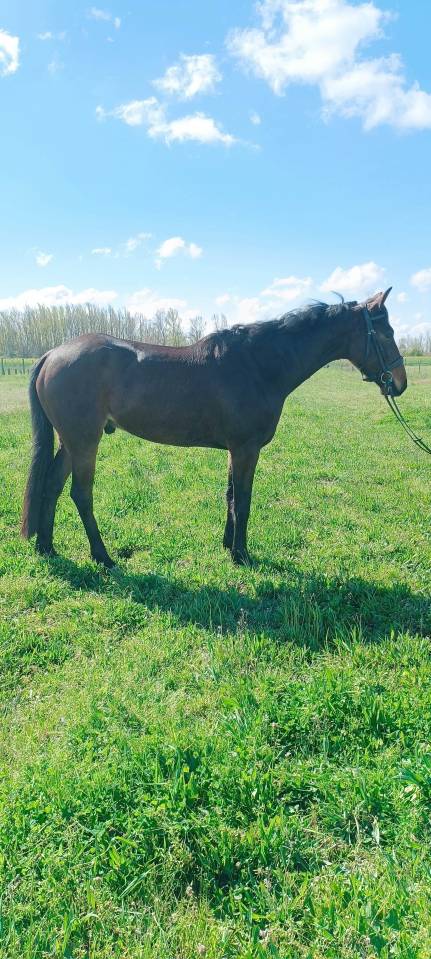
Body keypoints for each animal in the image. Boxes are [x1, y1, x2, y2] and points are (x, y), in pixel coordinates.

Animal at [21, 287, 406, 568]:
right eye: (385, 333)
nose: (400, 383)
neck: (258, 366)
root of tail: (53, 353)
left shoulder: (235, 450)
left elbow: (231, 495)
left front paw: (227, 546)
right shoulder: (246, 449)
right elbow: (244, 500)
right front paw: (242, 555)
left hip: (72, 442)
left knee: (52, 485)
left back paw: (47, 548)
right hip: (85, 441)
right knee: (80, 494)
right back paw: (103, 557)